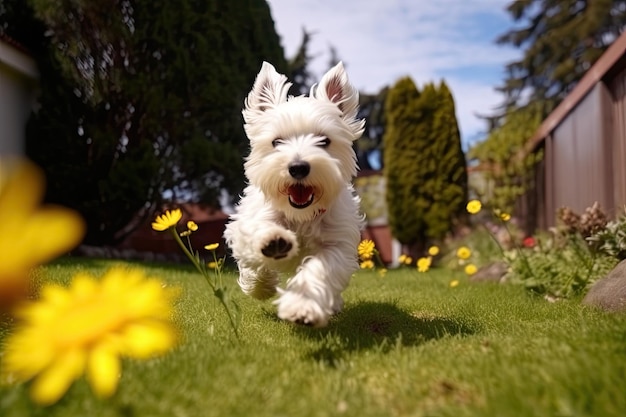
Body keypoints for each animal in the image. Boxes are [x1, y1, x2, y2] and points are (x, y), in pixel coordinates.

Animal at [223, 61, 364, 326]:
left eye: (324, 141)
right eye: (276, 142)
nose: (298, 167)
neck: (301, 216)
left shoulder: (337, 244)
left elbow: (319, 270)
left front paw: (302, 307)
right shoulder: (249, 221)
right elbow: (256, 239)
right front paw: (270, 253)